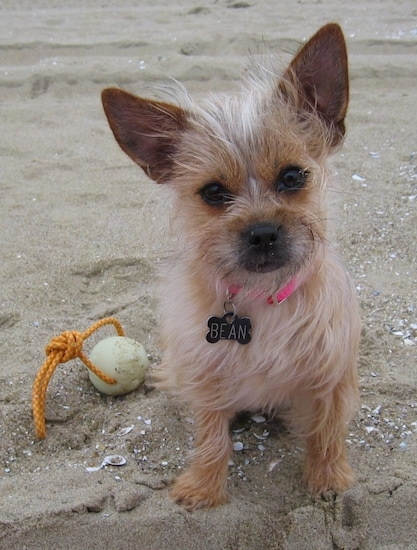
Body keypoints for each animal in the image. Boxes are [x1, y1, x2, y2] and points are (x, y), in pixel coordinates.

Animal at [101, 23, 360, 512]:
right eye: (213, 192)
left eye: (292, 177)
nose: (262, 232)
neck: (263, 298)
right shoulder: (205, 376)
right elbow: (211, 437)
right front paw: (203, 486)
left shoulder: (331, 373)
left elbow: (326, 430)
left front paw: (328, 479)